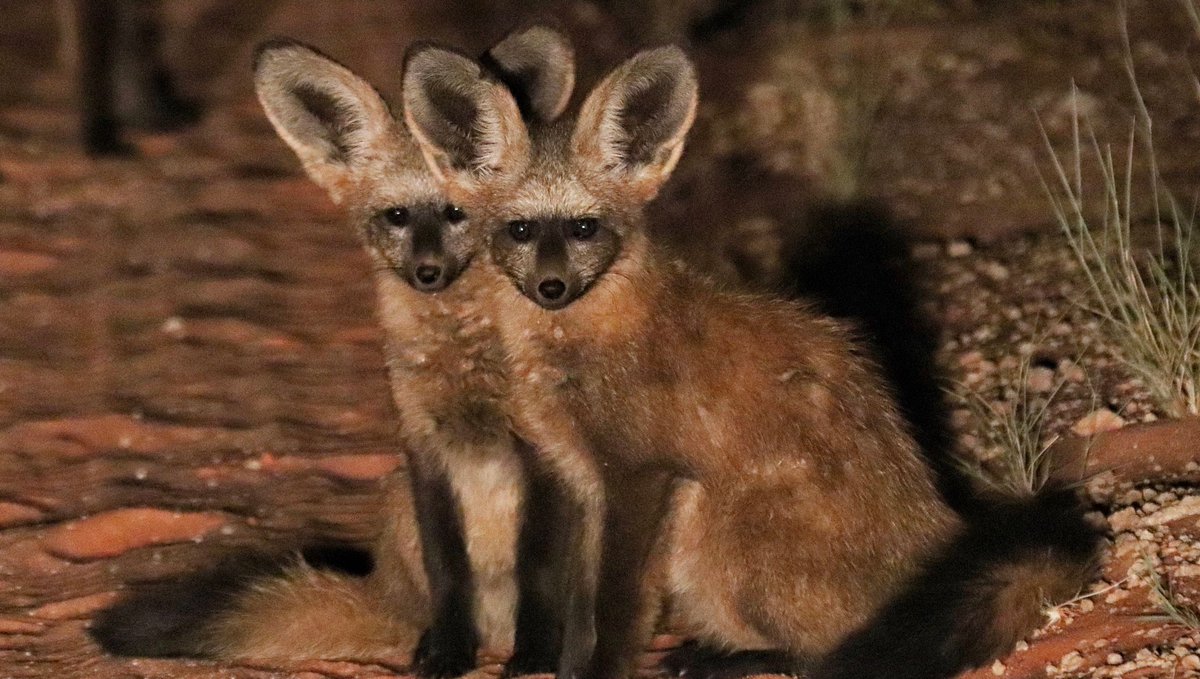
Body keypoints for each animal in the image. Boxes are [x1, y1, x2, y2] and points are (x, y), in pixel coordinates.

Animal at [90, 28, 578, 677]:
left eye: (456, 214)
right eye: (397, 216)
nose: (427, 273)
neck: (463, 366)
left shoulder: (540, 451)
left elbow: (540, 575)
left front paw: (535, 658)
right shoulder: (422, 446)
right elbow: (450, 576)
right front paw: (447, 655)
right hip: (397, 502)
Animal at [399, 43, 1101, 679]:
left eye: (583, 228)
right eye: (520, 230)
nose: (551, 288)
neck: (579, 350)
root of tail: (939, 527)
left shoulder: (639, 473)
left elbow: (614, 608)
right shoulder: (577, 479)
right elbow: (578, 608)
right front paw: (567, 667)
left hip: (714, 535)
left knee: (820, 656)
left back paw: (726, 659)